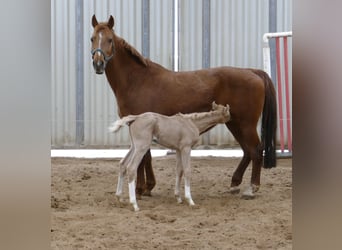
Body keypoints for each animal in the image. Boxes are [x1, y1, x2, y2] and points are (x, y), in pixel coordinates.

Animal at [89, 15, 276, 198]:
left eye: (110, 40)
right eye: (92, 38)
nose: (98, 64)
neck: (137, 80)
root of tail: (252, 72)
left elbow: (144, 157)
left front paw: (140, 188)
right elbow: (145, 157)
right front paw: (148, 186)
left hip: (245, 124)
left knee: (256, 150)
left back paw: (252, 188)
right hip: (234, 123)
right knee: (247, 151)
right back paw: (234, 184)